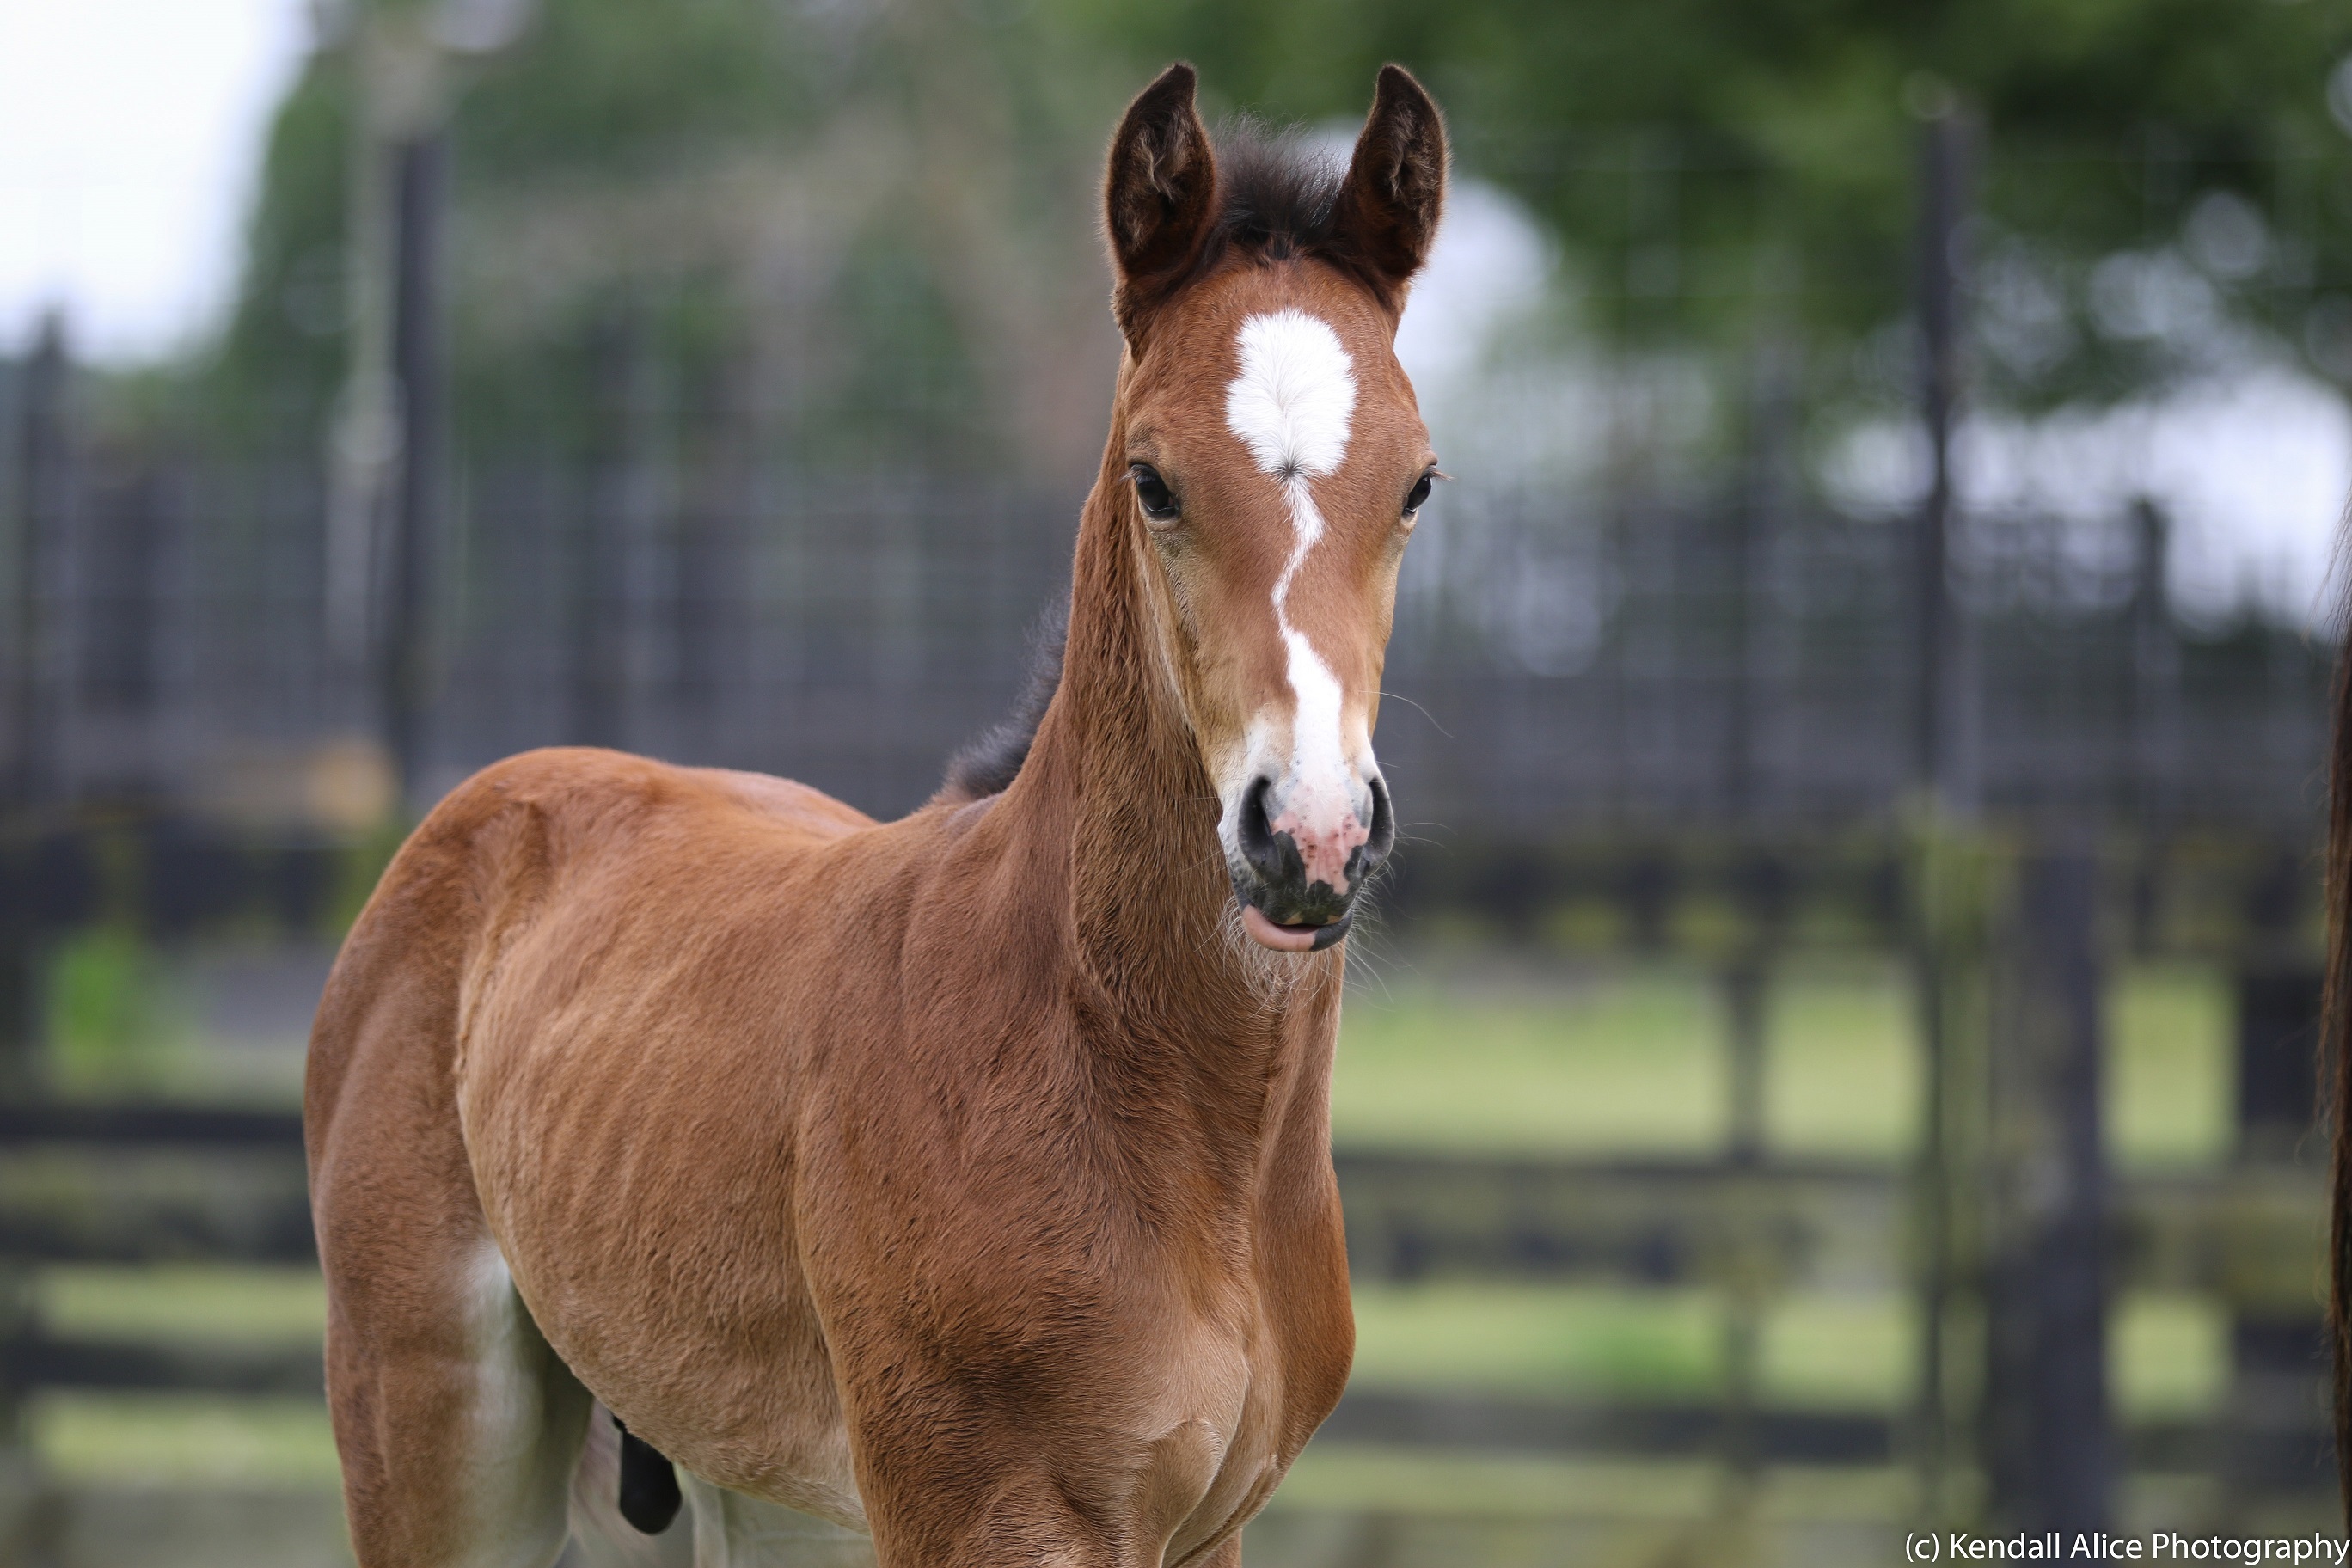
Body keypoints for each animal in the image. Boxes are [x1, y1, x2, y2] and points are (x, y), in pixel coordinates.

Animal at [308, 64, 1449, 1568]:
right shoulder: (980, 1512)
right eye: (1154, 481)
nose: (1309, 838)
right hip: (434, 1435)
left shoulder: (1211, 1530)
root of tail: (493, 802)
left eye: (1418, 483)